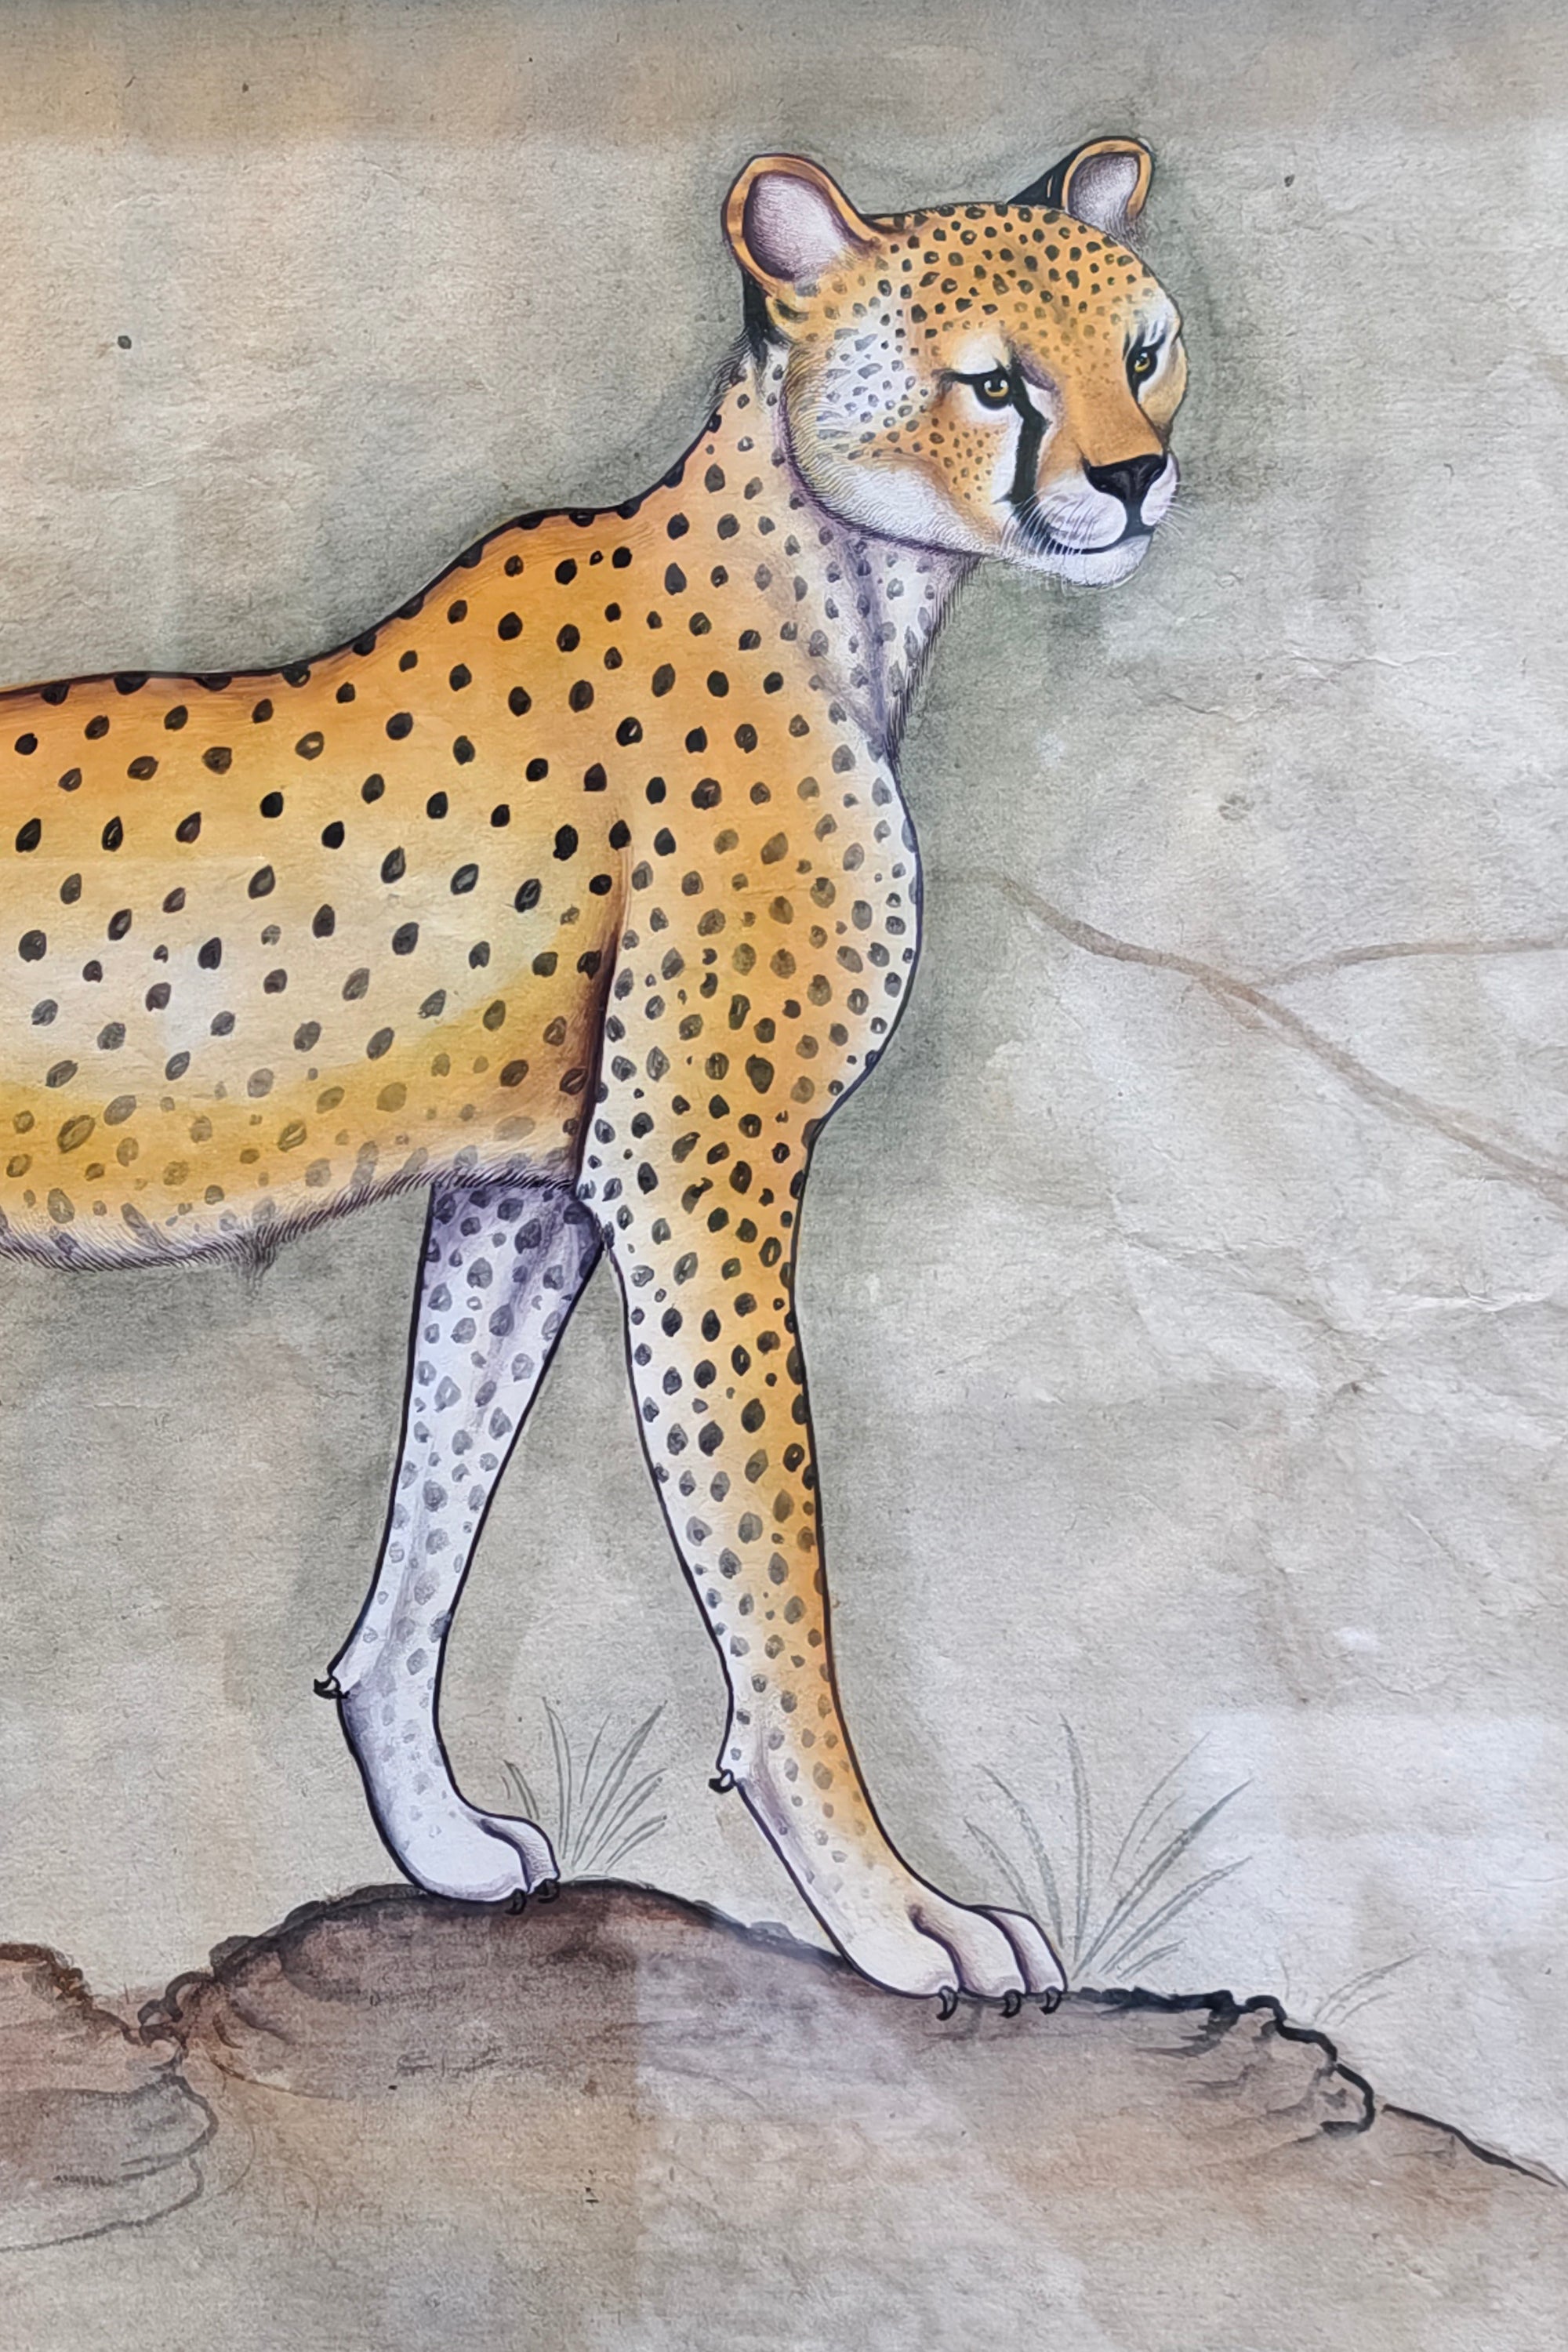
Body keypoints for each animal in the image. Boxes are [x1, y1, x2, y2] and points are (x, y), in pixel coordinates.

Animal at [0, 138, 1185, 2011]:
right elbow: (776, 1587)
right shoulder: (698, 1178)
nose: (1137, 480)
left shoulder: (529, 1185)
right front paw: (891, 1913)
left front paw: (431, 1835)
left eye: (1141, 350)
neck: (834, 577)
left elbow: (429, 1525)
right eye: (995, 382)